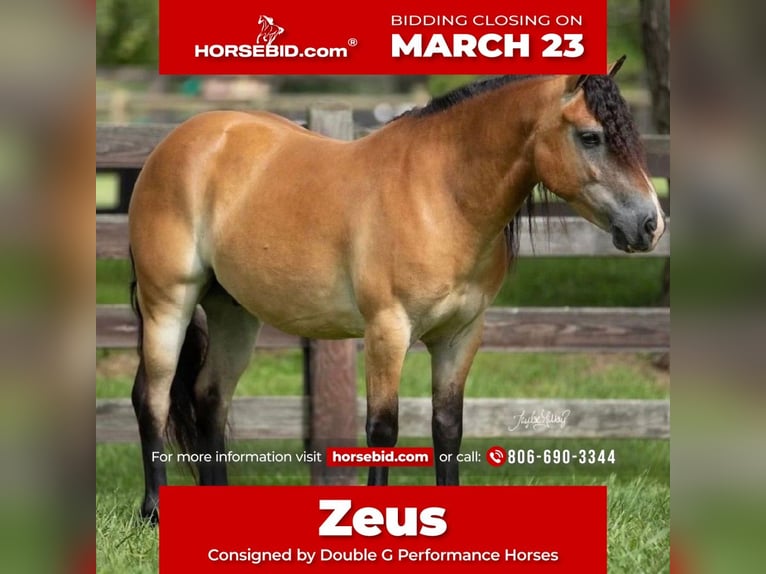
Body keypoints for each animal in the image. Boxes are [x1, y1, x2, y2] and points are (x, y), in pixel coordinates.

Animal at [128, 60, 666, 522]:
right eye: (591, 136)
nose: (650, 224)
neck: (441, 193)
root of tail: (177, 143)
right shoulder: (387, 330)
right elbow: (383, 429)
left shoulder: (460, 336)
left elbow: (447, 427)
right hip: (168, 305)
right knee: (152, 397)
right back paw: (153, 511)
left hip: (234, 311)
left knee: (209, 397)